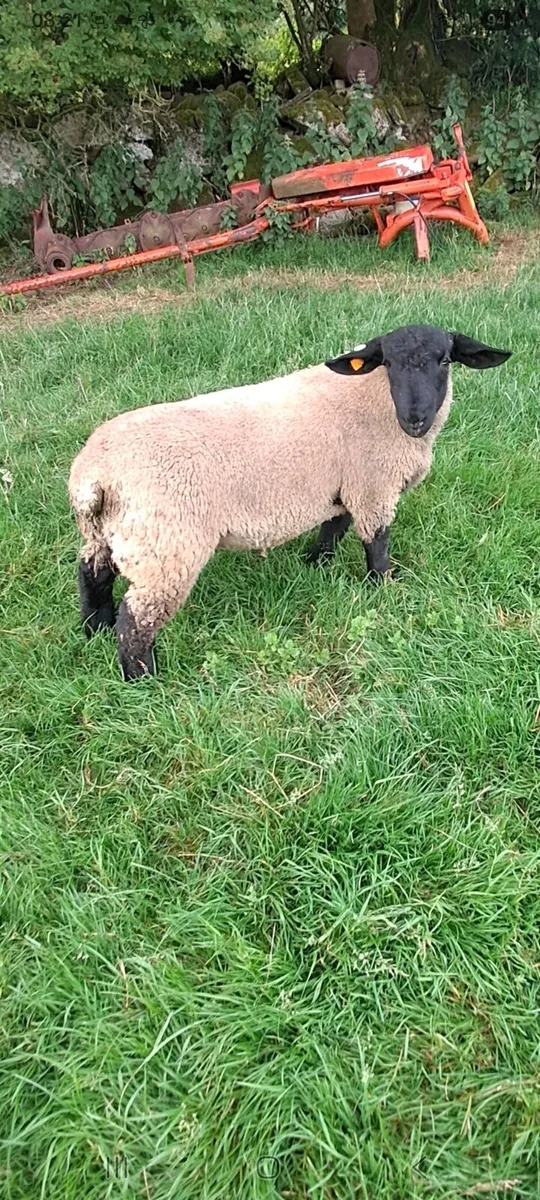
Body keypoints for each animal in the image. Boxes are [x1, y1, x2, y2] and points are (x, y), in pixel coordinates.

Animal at [69, 324, 511, 680]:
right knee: (136, 620)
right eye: (388, 362)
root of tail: (93, 473)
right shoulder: (372, 486)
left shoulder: (342, 485)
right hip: (165, 543)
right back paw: (143, 679)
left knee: (93, 575)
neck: (377, 399)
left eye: (445, 360)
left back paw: (94, 632)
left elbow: (334, 528)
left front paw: (315, 563)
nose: (415, 418)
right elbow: (377, 543)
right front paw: (383, 588)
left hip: (108, 531)